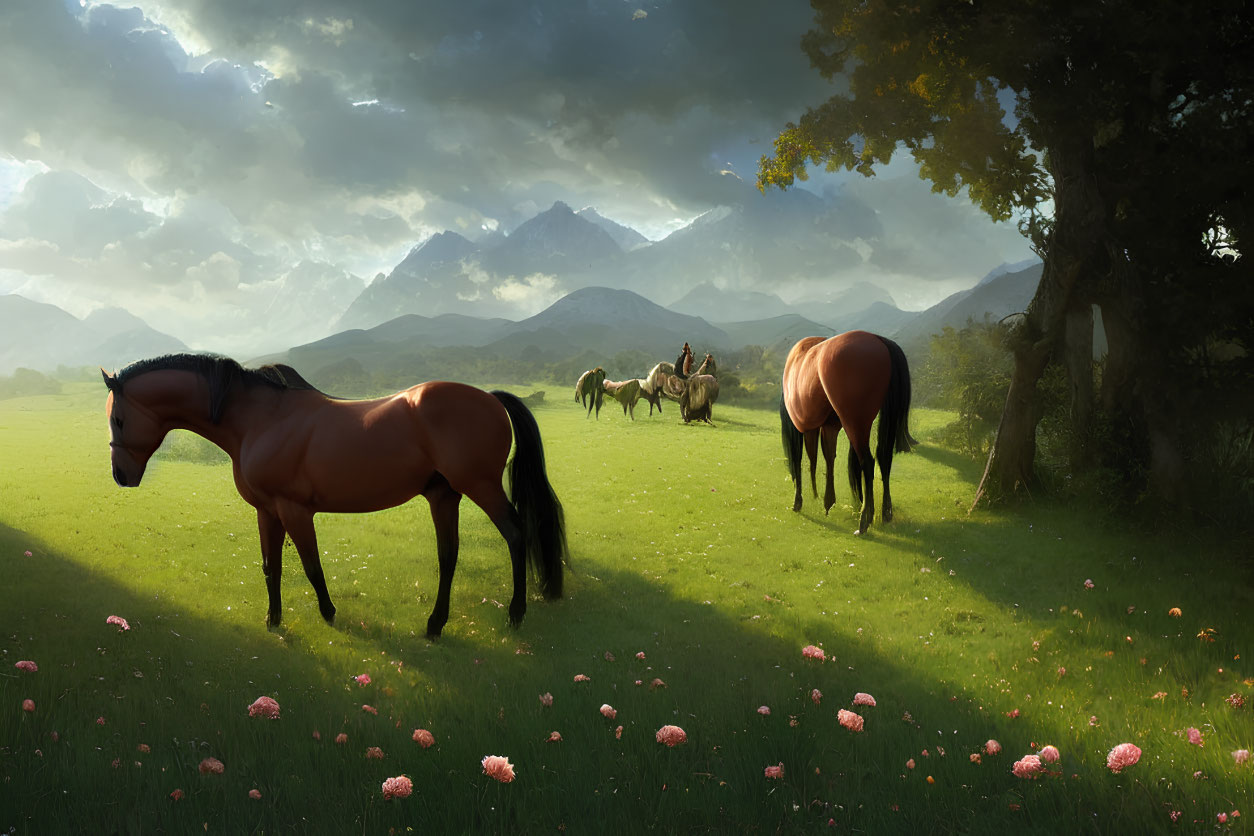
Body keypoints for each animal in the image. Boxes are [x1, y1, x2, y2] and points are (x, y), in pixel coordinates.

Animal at [106, 350, 569, 634]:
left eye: (118, 420)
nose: (119, 475)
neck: (260, 418)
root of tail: (490, 397)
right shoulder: (266, 512)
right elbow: (271, 567)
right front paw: (273, 620)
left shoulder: (294, 510)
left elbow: (312, 567)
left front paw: (328, 614)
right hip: (445, 496)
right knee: (448, 555)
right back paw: (435, 624)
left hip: (481, 487)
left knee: (516, 535)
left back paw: (515, 613)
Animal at [782, 330, 912, 533]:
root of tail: (879, 339)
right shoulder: (828, 426)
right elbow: (828, 457)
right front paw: (827, 501)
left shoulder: (797, 426)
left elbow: (799, 459)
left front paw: (799, 501)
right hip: (877, 421)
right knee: (884, 459)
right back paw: (885, 513)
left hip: (854, 423)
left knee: (868, 462)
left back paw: (864, 520)